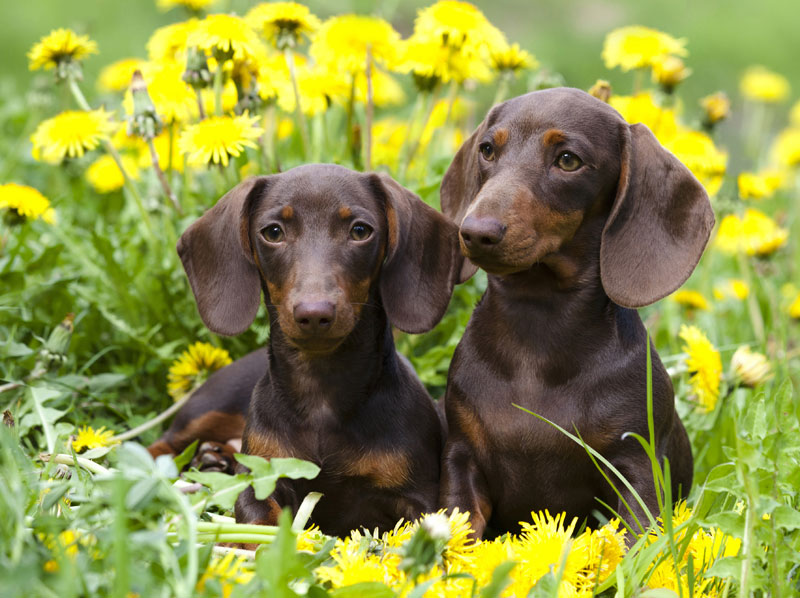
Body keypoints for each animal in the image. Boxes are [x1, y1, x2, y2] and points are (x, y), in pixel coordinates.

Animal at [175, 165, 462, 540]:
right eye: (273, 232)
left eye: (360, 230)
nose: (314, 313)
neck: (322, 391)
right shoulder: (261, 482)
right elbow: (258, 522)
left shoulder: (418, 497)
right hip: (205, 408)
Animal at [440, 88, 716, 540]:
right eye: (487, 150)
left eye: (568, 160)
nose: (475, 231)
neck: (538, 329)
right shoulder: (462, 457)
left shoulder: (636, 467)